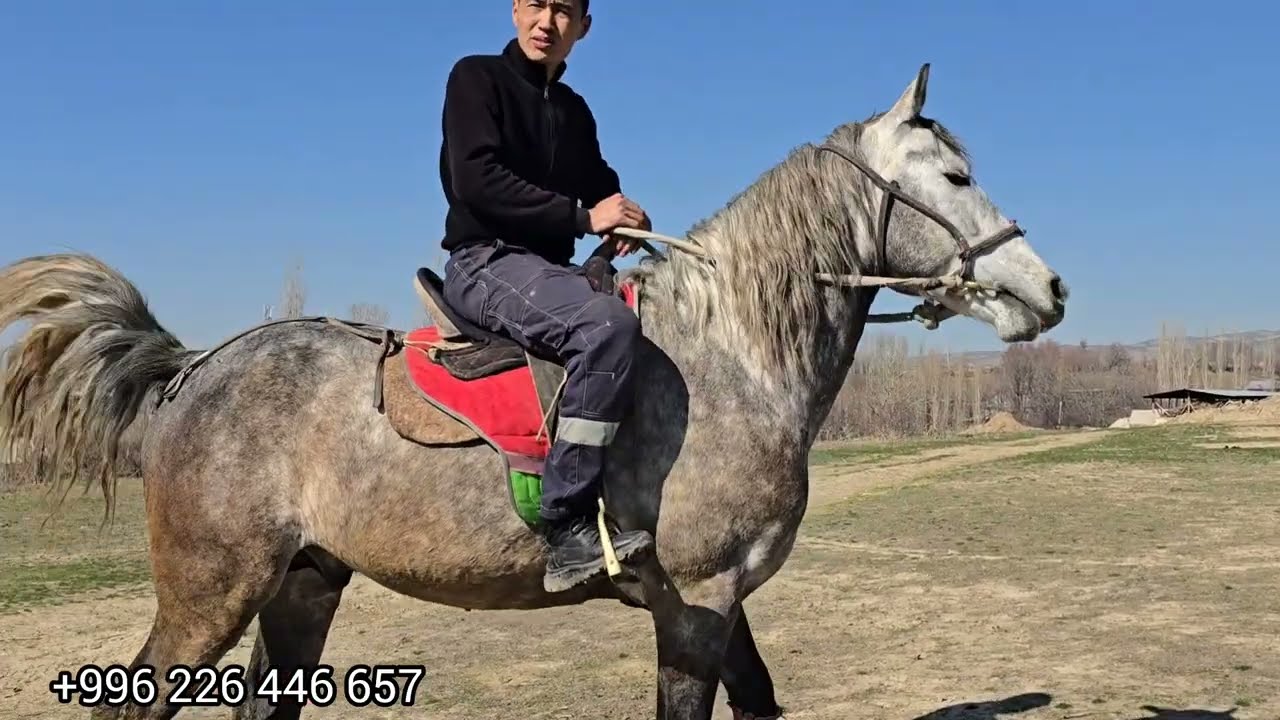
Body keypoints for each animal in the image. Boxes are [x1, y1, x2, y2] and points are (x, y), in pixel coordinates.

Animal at [0, 64, 1067, 720]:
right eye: (954, 174)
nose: (1047, 290)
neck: (729, 355)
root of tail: (194, 368)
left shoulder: (723, 605)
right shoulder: (698, 604)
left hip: (301, 584)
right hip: (208, 596)